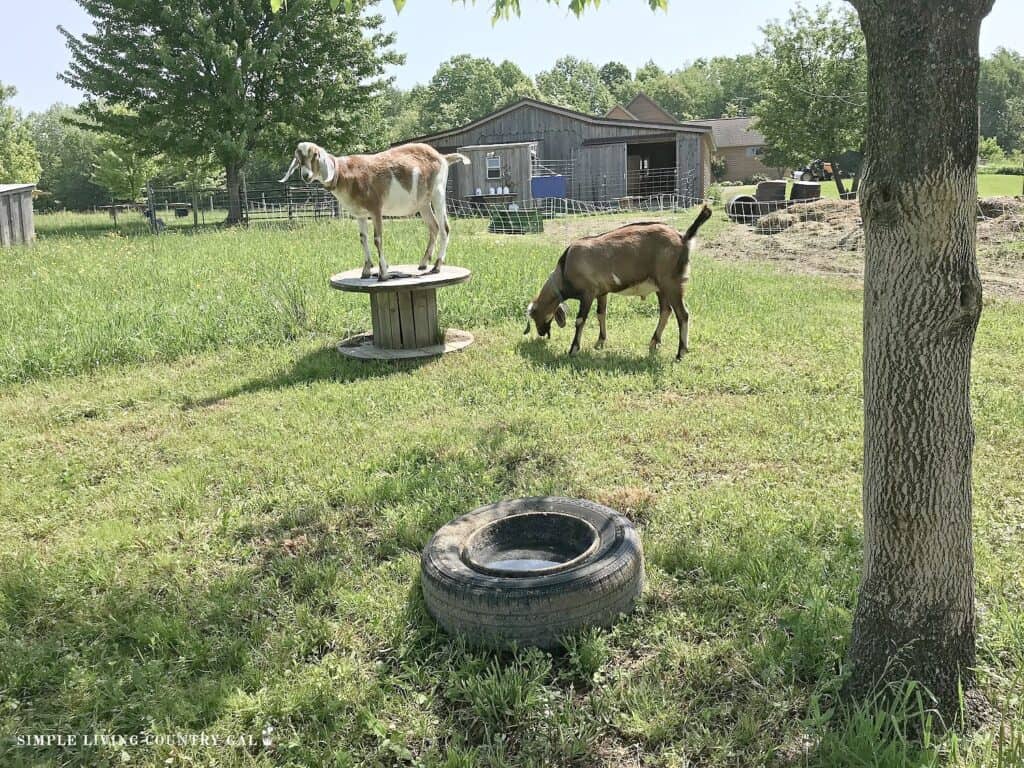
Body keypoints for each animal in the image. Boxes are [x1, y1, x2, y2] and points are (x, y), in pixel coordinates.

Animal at [280, 142, 470, 281]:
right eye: (298, 158)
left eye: (315, 155)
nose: (306, 176)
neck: (346, 174)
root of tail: (443, 157)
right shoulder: (360, 215)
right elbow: (363, 239)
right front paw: (366, 271)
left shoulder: (376, 209)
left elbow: (377, 239)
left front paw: (383, 274)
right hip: (423, 203)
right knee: (433, 227)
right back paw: (423, 263)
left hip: (438, 193)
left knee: (445, 228)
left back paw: (437, 266)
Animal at [524, 205, 712, 359]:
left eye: (534, 315)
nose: (541, 333)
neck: (565, 268)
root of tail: (683, 238)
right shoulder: (602, 292)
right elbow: (601, 314)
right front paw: (600, 342)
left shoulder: (588, 293)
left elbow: (580, 320)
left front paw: (573, 349)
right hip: (662, 287)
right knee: (666, 311)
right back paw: (653, 343)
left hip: (672, 283)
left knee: (683, 314)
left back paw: (680, 353)